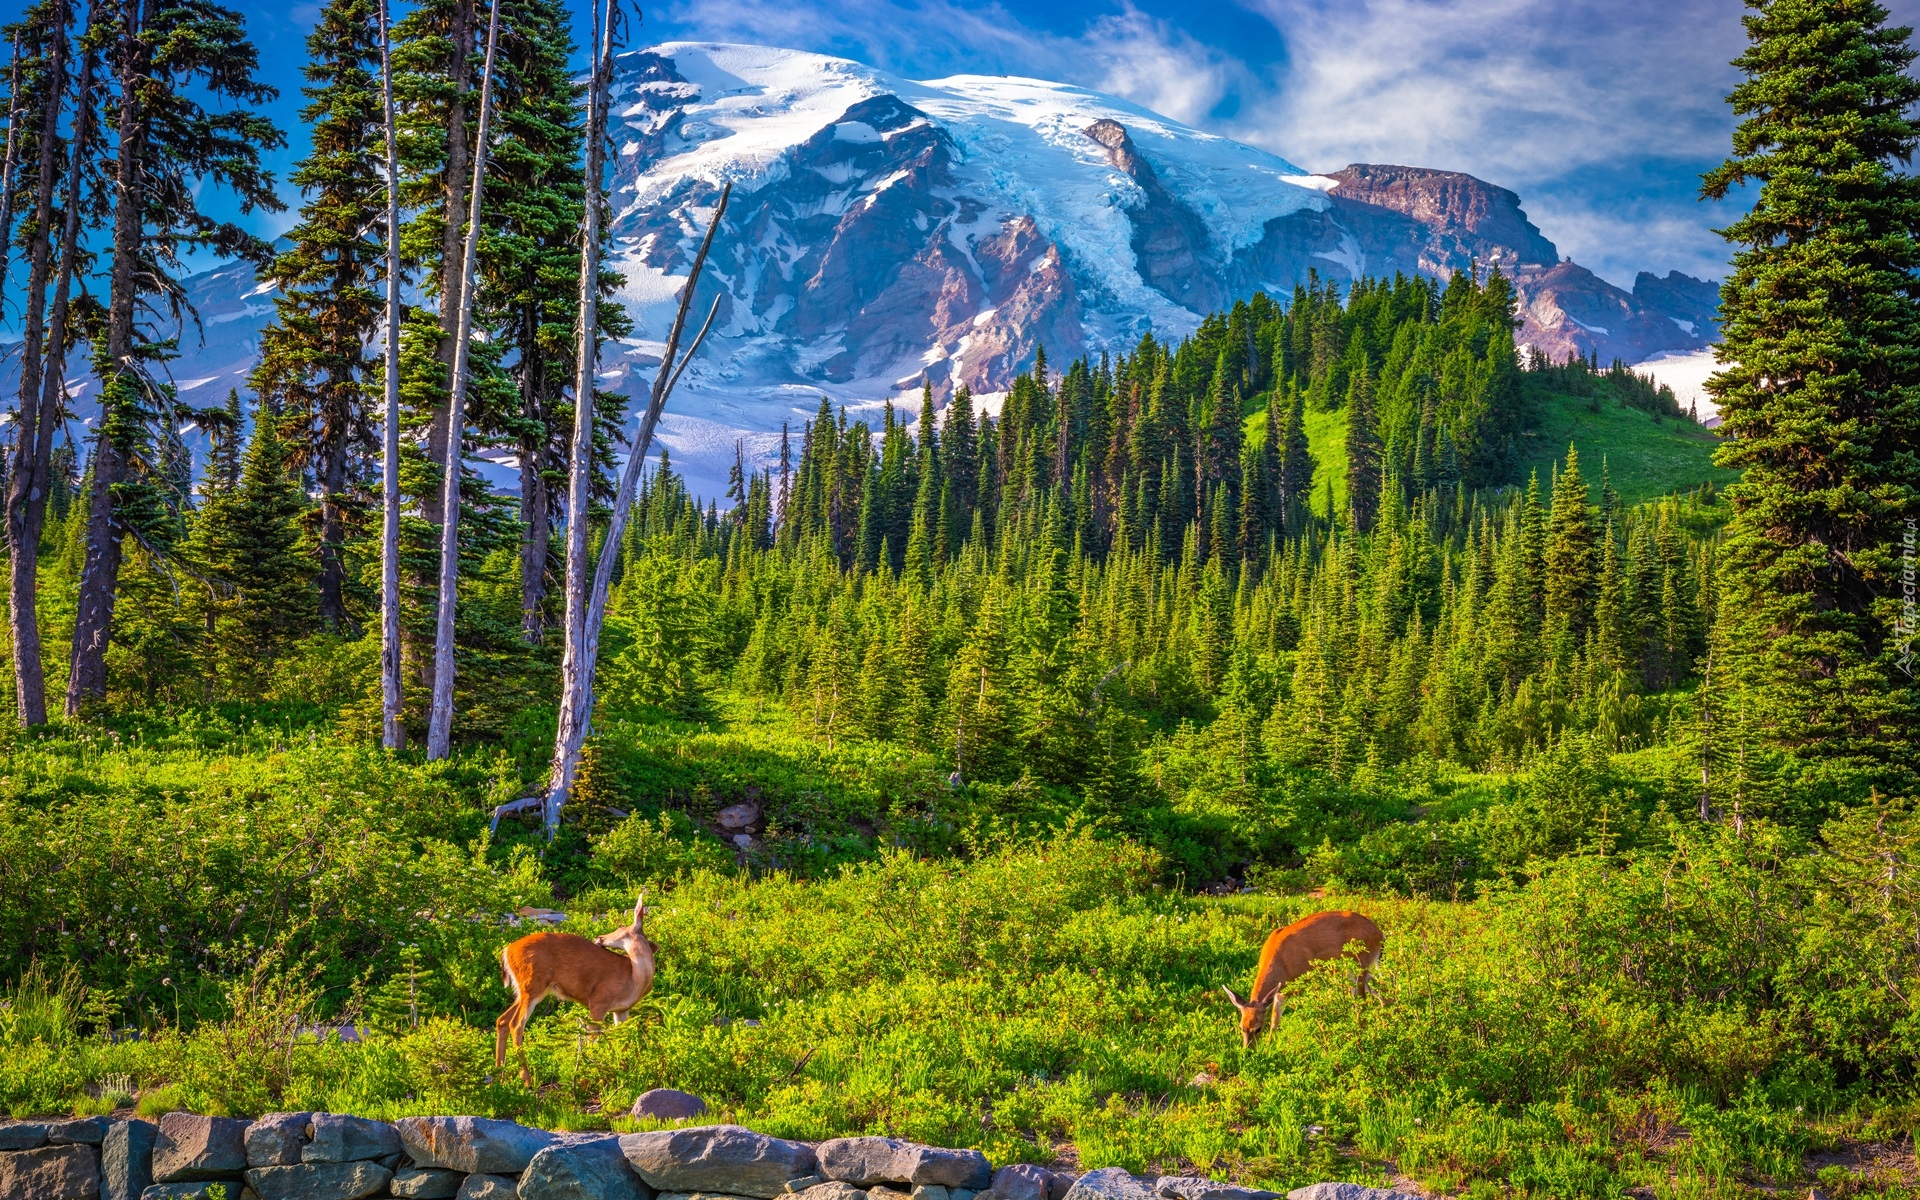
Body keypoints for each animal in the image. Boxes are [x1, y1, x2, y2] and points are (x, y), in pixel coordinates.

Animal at [491, 890, 656, 1082]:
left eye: (620, 927)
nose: (599, 937)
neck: (635, 977)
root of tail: (506, 951)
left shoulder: (621, 1010)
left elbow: (620, 1040)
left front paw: (622, 1070)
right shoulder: (598, 1001)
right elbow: (592, 1040)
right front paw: (589, 1076)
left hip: (526, 990)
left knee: (502, 1020)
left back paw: (499, 1076)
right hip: (533, 984)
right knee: (516, 1024)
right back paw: (526, 1079)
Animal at [1228, 906, 1382, 1044]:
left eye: (1258, 1029)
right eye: (1241, 1027)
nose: (1248, 1051)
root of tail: (1380, 934)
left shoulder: (1307, 979)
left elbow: (1312, 1012)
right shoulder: (1281, 991)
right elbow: (1275, 1020)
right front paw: (1269, 1046)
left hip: (1359, 965)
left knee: (1363, 1002)